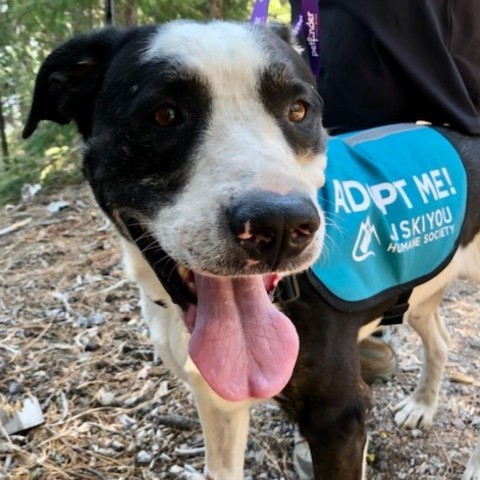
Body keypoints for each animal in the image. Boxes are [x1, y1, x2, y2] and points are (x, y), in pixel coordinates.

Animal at [24, 19, 480, 480]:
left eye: (298, 110)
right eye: (164, 114)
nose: (279, 226)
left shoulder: (339, 420)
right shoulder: (218, 404)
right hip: (423, 294)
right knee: (440, 340)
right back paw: (422, 405)